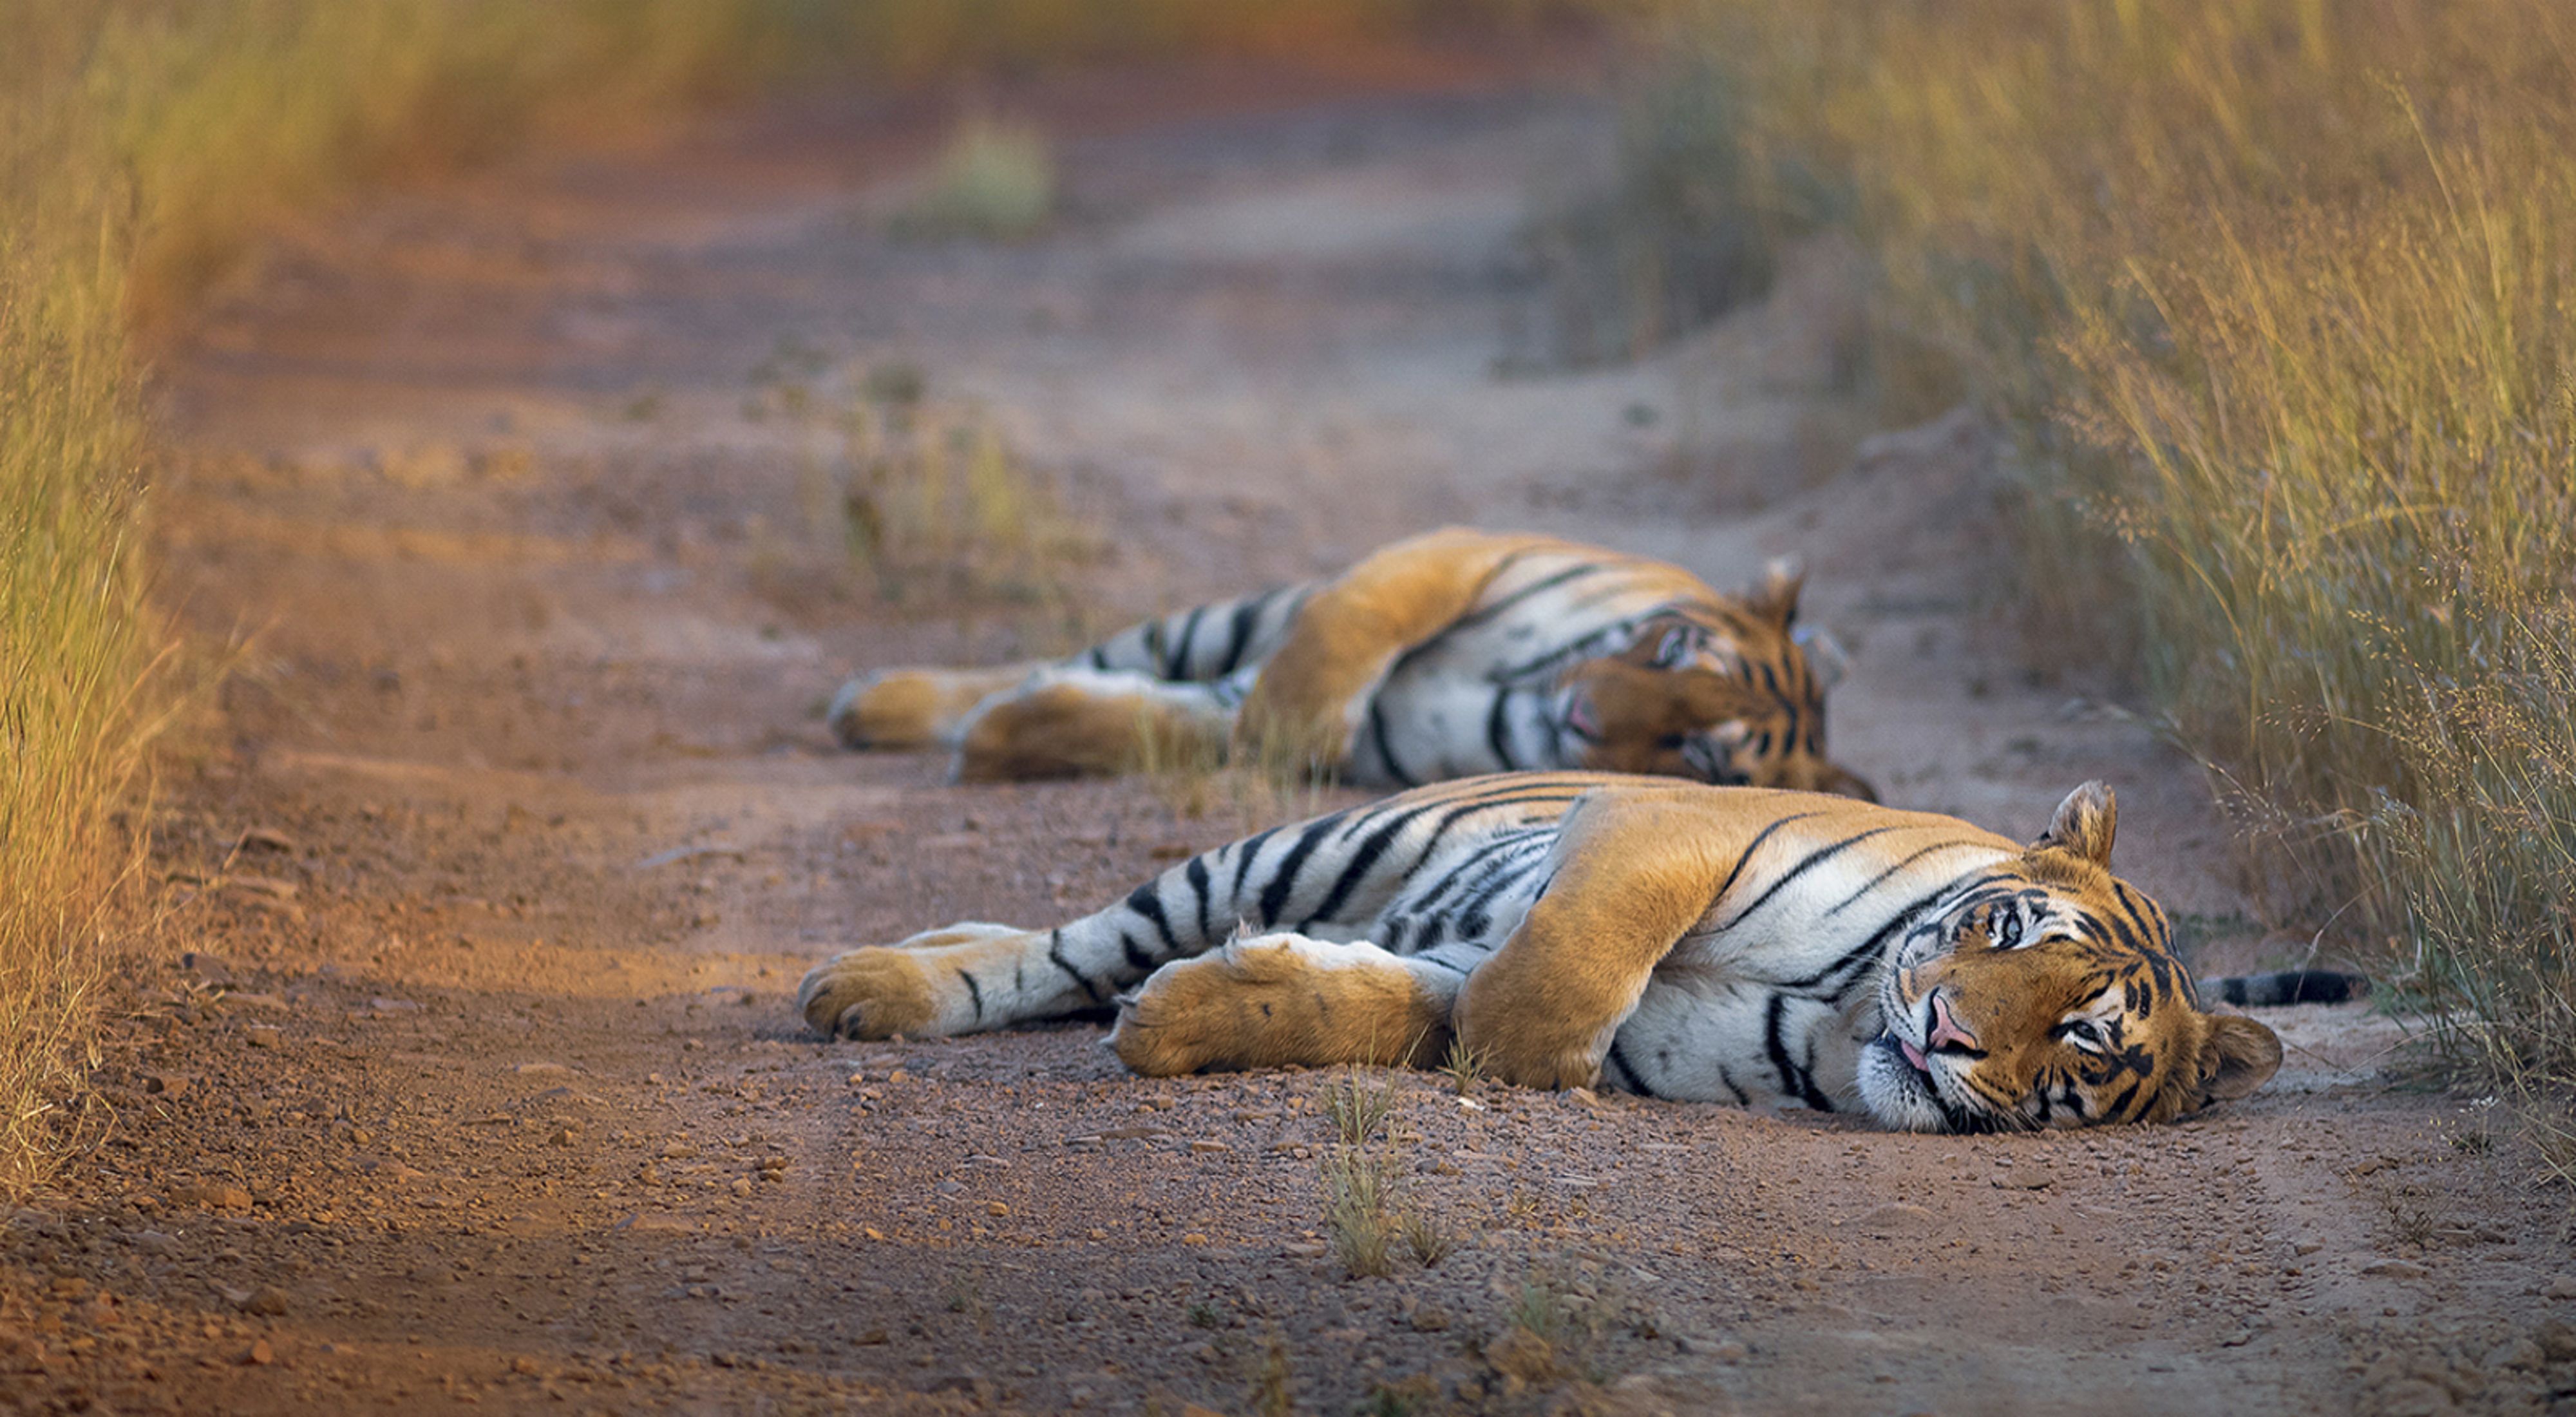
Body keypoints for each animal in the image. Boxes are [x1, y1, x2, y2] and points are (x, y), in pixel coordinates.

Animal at [824, 531, 1875, 804]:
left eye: (1697, 752)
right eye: (1670, 650)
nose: (1581, 713)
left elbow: (1154, 724)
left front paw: (1005, 738)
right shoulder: (1469, 551)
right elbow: (1353, 626)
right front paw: (1296, 718)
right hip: (1212, 623)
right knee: (1075, 657)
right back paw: (873, 704)